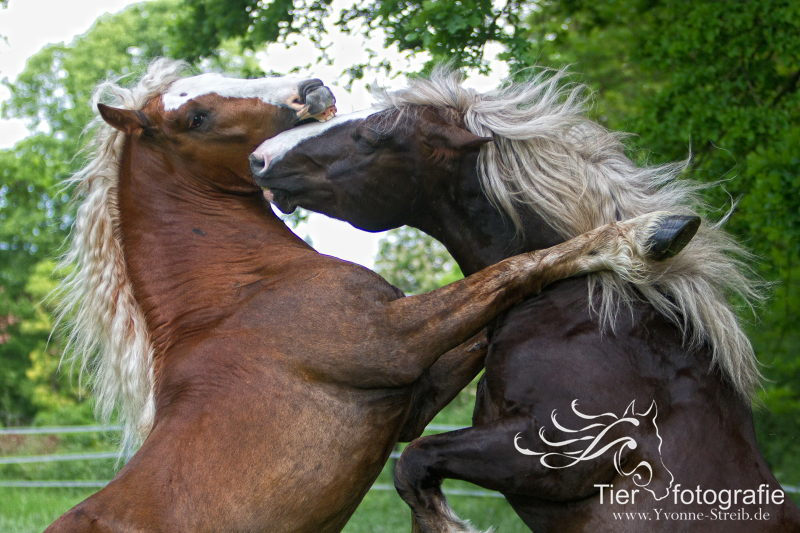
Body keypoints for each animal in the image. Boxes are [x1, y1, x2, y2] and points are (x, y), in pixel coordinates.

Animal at [45, 59, 688, 532]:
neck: (239, 295)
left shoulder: (414, 396)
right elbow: (517, 267)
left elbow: (489, 316)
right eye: (197, 117)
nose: (312, 89)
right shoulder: (395, 341)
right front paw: (648, 235)